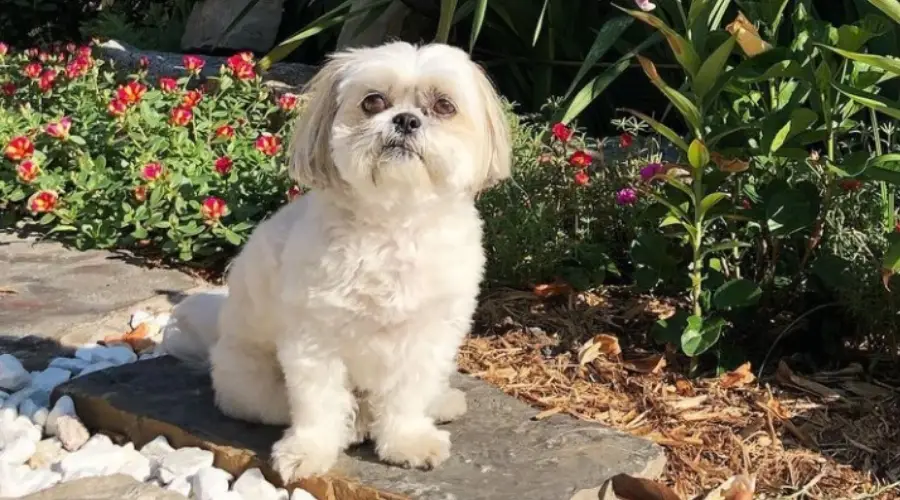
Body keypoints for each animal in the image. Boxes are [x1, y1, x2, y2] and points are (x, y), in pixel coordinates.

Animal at [160, 41, 512, 482]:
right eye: (373, 101)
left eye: (444, 106)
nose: (406, 120)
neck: (394, 220)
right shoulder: (314, 338)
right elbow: (319, 402)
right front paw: (308, 451)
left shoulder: (429, 334)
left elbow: (409, 394)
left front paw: (408, 440)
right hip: (252, 383)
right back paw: (355, 424)